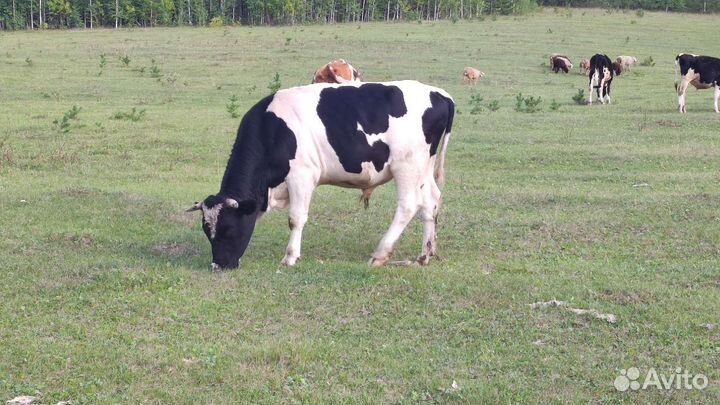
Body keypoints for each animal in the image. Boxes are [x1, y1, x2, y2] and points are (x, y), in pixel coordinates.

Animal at [187, 81, 455, 270]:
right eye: (207, 231)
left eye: (229, 230)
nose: (219, 266)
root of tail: (439, 94)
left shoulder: (302, 176)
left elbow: (296, 218)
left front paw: (290, 257)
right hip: (423, 168)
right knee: (431, 202)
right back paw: (424, 255)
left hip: (406, 165)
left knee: (408, 205)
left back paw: (380, 255)